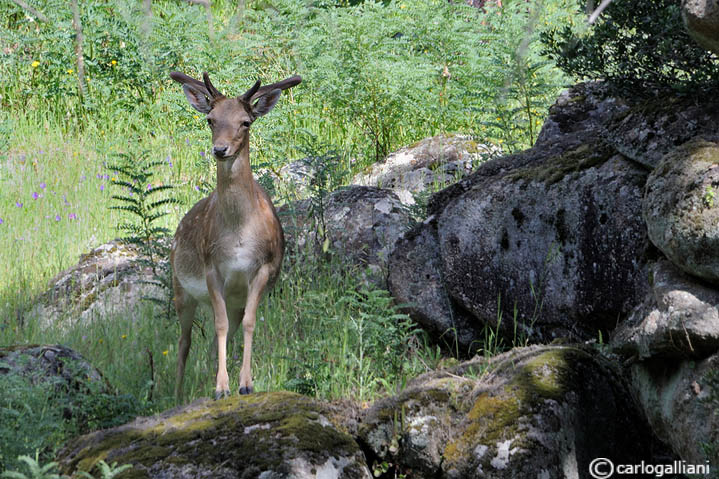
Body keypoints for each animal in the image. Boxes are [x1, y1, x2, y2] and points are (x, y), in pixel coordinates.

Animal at [169, 70, 300, 402]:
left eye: (246, 122)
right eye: (210, 120)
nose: (220, 150)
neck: (239, 234)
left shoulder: (264, 268)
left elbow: (249, 325)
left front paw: (246, 383)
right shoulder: (211, 268)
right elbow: (219, 327)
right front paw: (221, 387)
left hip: (232, 298)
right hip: (180, 288)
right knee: (184, 341)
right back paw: (178, 393)